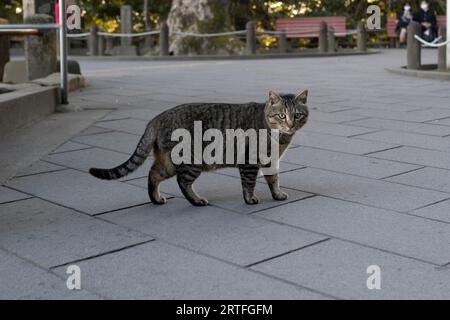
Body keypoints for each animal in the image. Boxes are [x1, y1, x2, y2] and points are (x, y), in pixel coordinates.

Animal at [91, 90, 310, 205]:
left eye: (297, 115)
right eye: (282, 115)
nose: (290, 124)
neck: (279, 138)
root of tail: (157, 118)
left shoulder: (271, 162)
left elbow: (274, 180)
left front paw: (277, 194)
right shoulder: (249, 161)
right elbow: (249, 183)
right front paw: (250, 199)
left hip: (167, 163)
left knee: (153, 174)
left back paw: (156, 199)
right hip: (190, 162)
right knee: (182, 182)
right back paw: (196, 201)